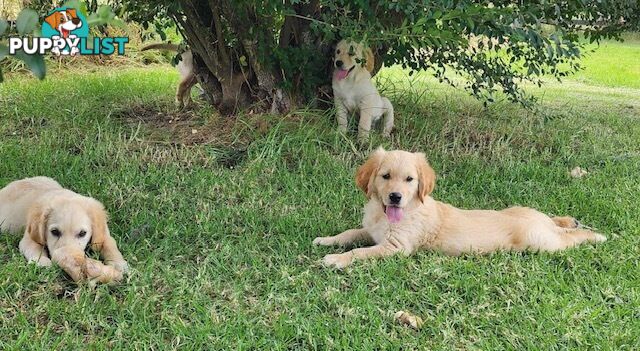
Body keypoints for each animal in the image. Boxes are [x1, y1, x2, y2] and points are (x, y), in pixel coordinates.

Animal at [0, 177, 129, 284]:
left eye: (82, 233)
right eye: (55, 232)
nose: (66, 254)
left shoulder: (104, 235)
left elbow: (110, 246)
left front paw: (119, 264)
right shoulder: (29, 238)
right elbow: (33, 248)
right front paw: (43, 263)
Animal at [312, 147, 608, 268]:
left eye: (409, 180)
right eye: (385, 176)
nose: (395, 197)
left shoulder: (396, 247)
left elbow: (360, 252)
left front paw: (336, 259)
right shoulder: (371, 231)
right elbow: (349, 234)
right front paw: (326, 240)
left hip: (541, 242)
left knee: (570, 239)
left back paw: (595, 235)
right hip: (526, 212)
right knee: (554, 219)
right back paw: (569, 220)